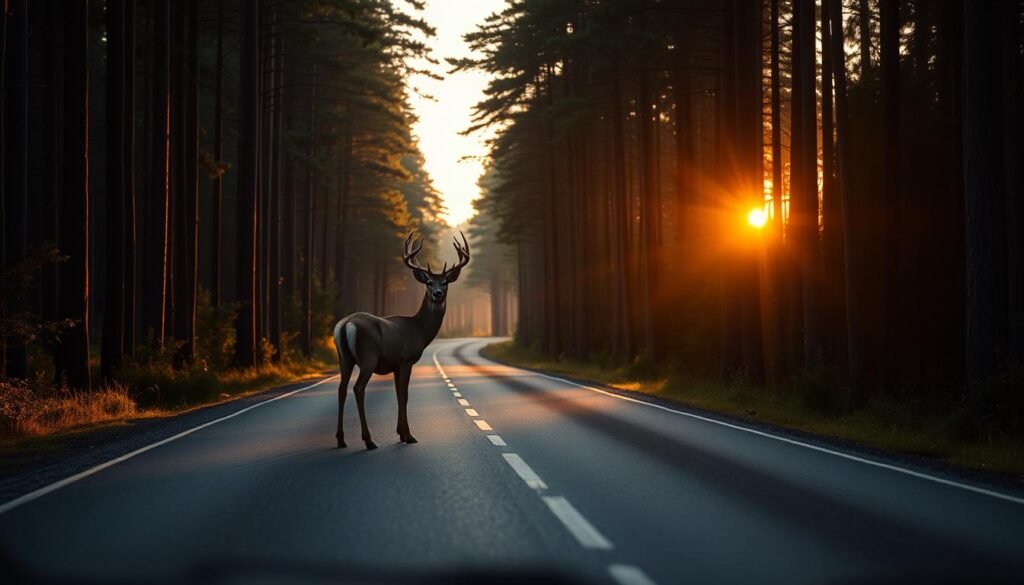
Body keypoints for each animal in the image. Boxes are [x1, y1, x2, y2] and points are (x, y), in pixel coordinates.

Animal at [329, 231, 468, 450]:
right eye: (429, 282)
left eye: (445, 282)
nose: (437, 294)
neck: (419, 330)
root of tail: (345, 325)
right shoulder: (406, 359)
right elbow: (404, 395)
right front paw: (409, 435)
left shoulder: (395, 365)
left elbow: (397, 394)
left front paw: (400, 433)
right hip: (368, 357)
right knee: (358, 389)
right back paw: (368, 440)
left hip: (344, 357)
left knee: (341, 389)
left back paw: (341, 439)